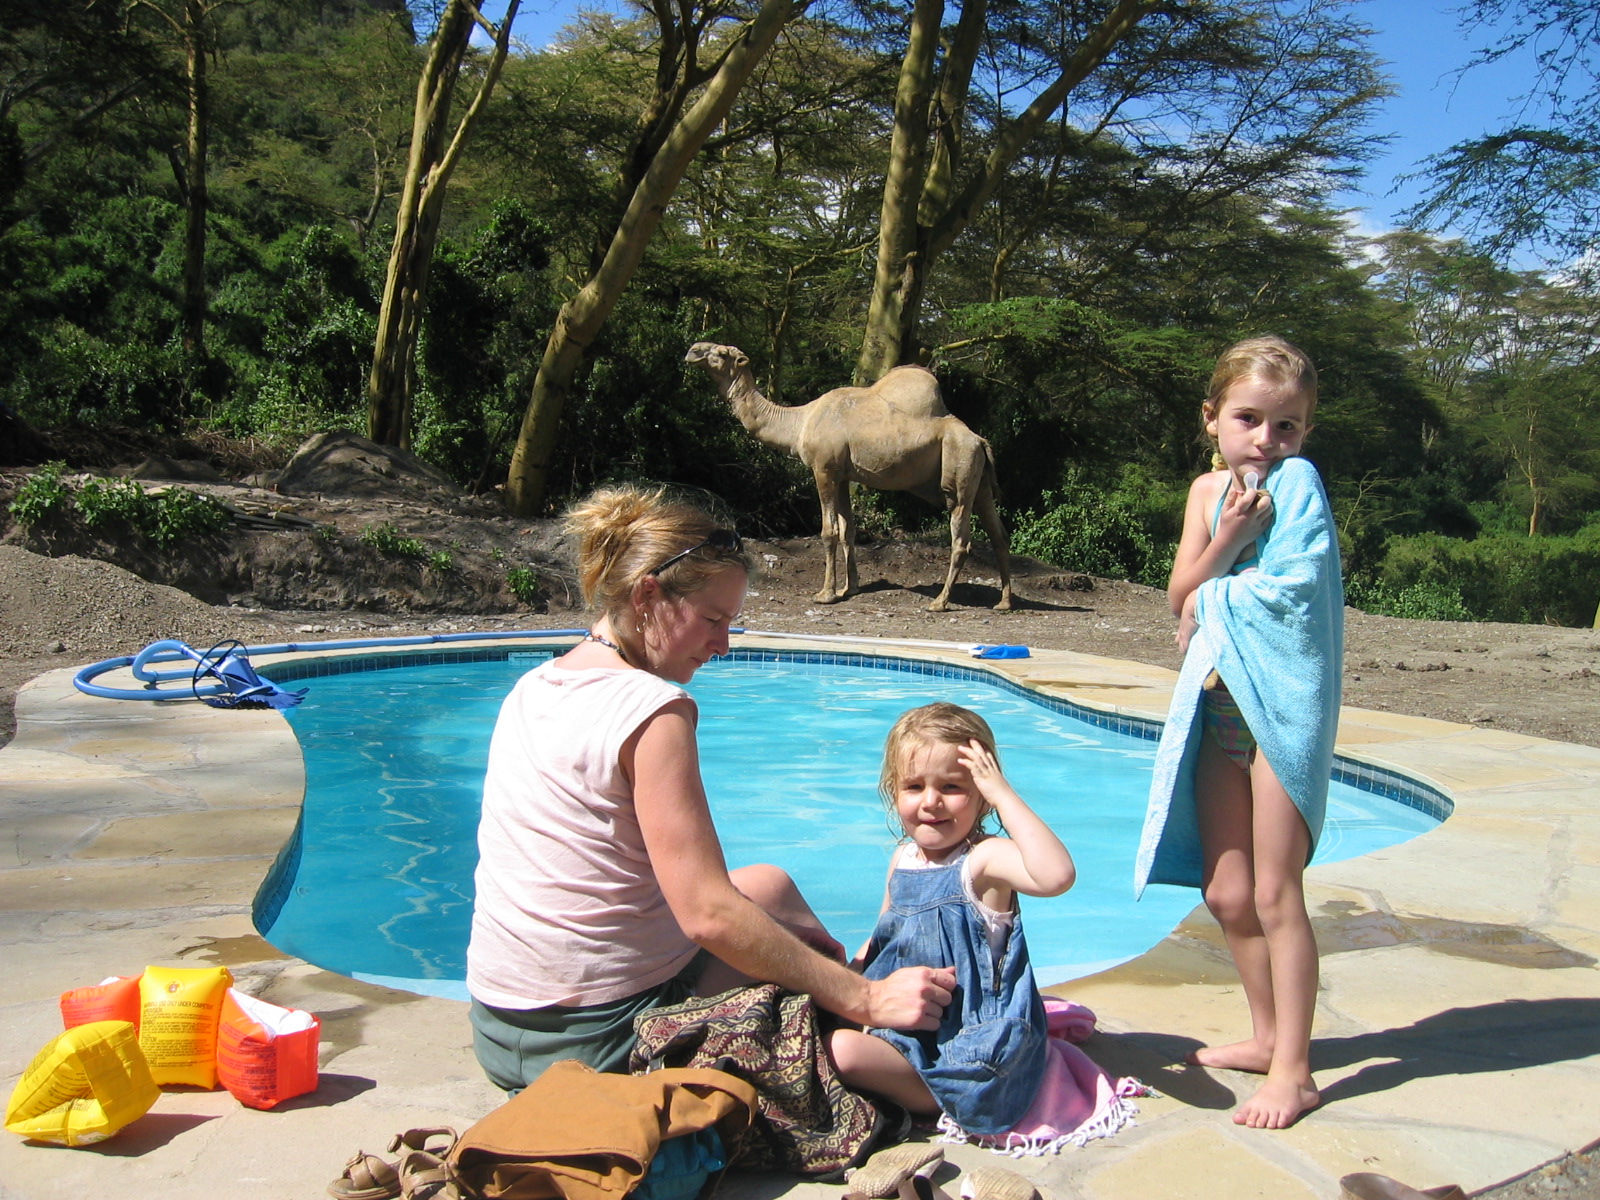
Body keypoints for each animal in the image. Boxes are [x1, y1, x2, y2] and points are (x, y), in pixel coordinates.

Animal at [685, 342, 1013, 612]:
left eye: (721, 353)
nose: (692, 350)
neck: (799, 422)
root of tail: (980, 440)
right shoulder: (842, 474)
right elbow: (848, 530)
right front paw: (849, 588)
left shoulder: (824, 467)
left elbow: (828, 531)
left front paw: (825, 594)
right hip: (979, 479)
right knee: (998, 533)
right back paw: (1004, 602)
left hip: (960, 469)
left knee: (961, 538)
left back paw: (940, 602)